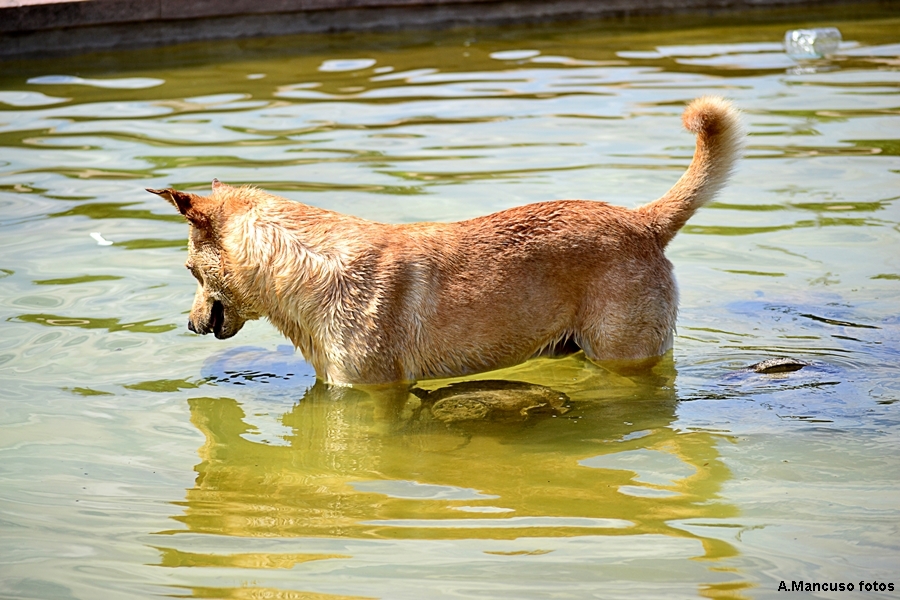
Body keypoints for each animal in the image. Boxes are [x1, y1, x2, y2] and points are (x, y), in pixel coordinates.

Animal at [151, 94, 744, 384]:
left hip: (625, 353)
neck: (307, 266)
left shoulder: (369, 395)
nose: (190, 325)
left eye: (189, 272)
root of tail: (643, 220)